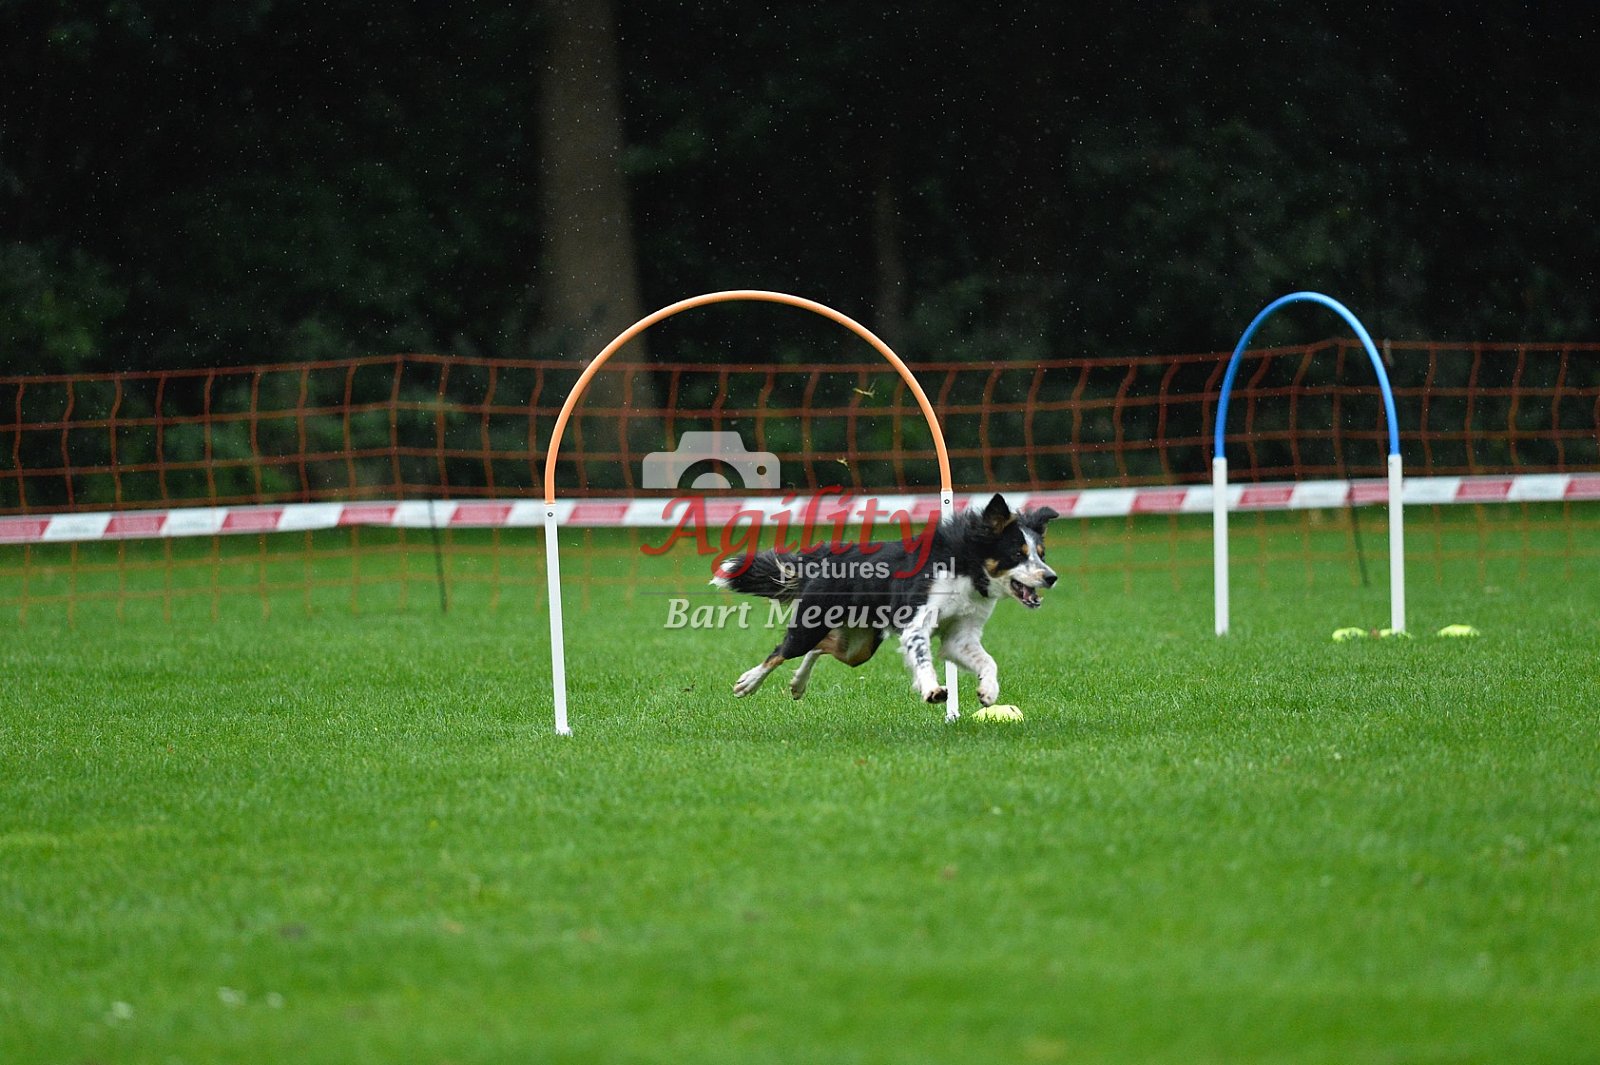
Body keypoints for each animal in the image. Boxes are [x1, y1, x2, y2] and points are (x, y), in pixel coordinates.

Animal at [710, 493, 1059, 717]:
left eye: (1041, 553)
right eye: (1017, 554)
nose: (1051, 577)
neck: (966, 564)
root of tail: (827, 559)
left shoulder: (961, 635)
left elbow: (988, 662)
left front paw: (988, 692)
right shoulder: (917, 623)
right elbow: (923, 658)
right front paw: (932, 689)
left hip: (859, 647)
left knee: (822, 647)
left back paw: (798, 684)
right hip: (812, 623)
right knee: (782, 651)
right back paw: (748, 683)